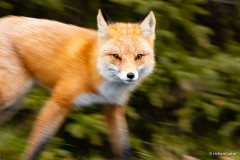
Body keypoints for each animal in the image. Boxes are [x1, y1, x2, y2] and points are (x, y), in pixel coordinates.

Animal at [0, 10, 156, 160]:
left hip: (13, 104)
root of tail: (4, 19)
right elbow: (37, 146)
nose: (130, 75)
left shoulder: (113, 107)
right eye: (116, 56)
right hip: (12, 94)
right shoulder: (58, 101)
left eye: (139, 56)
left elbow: (124, 149)